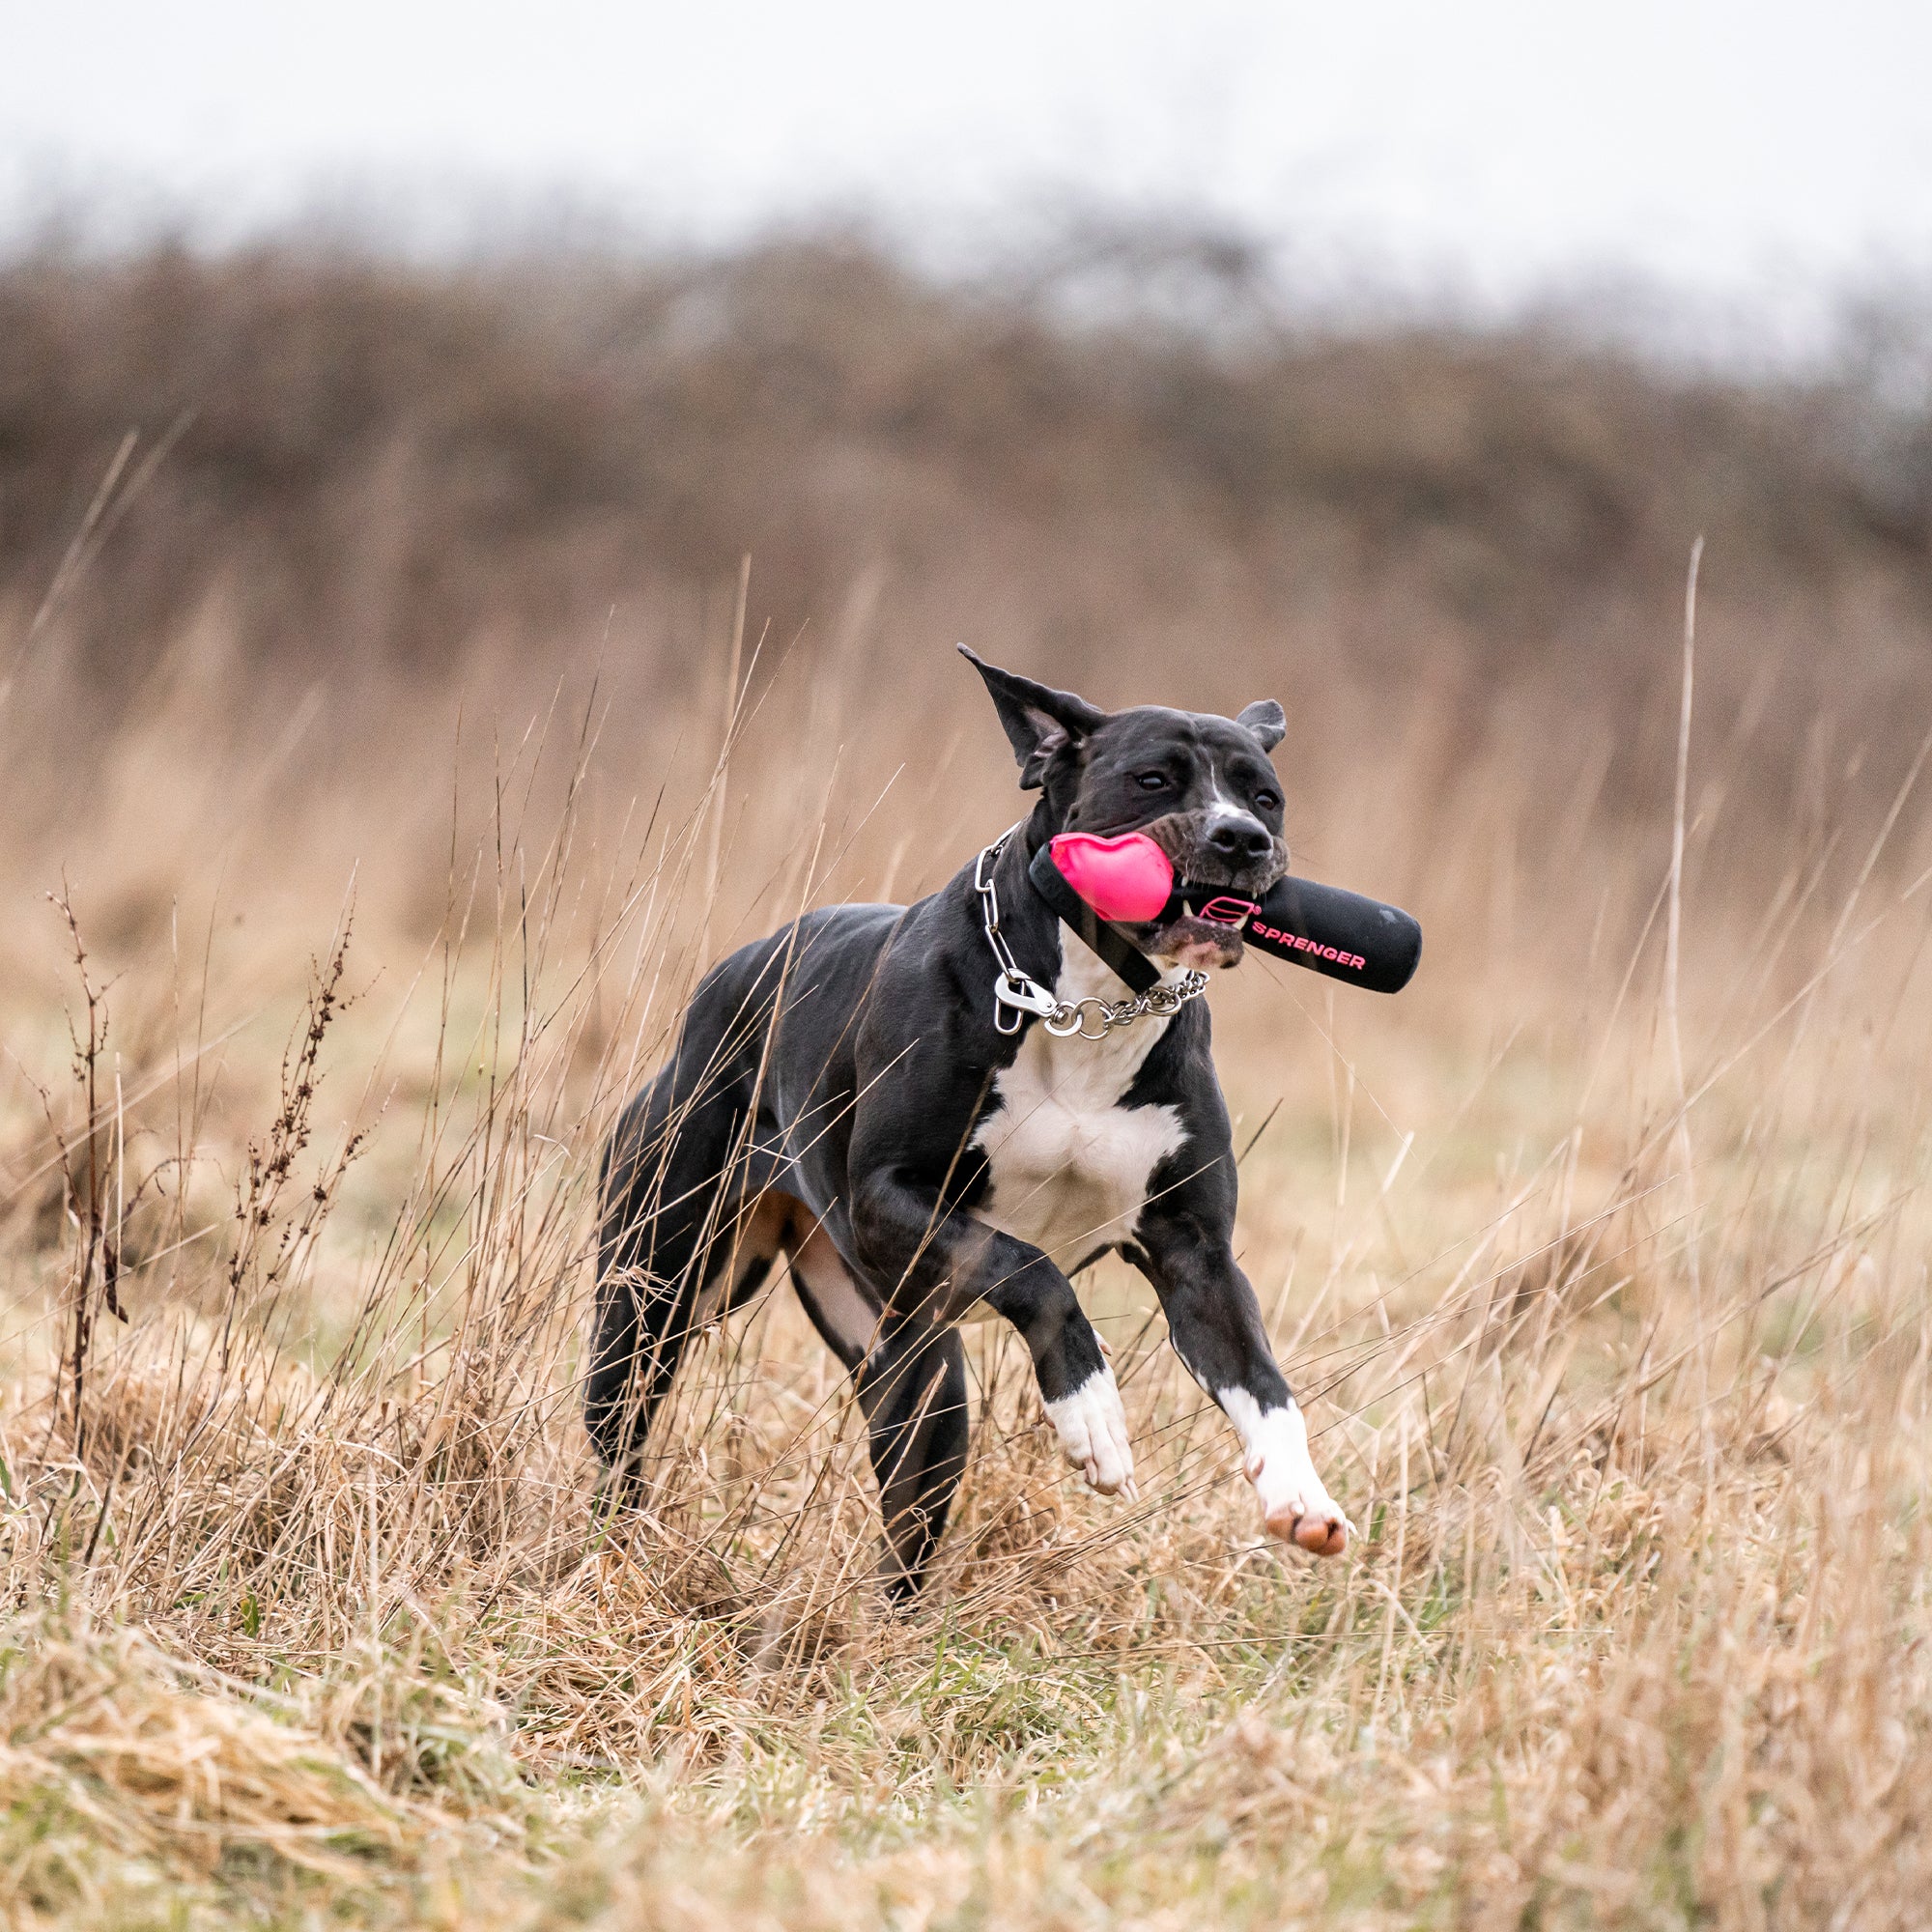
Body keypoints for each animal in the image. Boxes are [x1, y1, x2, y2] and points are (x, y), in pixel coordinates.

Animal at [587, 657, 1345, 1592]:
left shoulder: (1195, 1252)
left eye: (1264, 796)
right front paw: (1092, 1415)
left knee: (909, 1497)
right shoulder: (890, 1197)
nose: (1240, 837)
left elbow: (1262, 1380)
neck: (1090, 1003)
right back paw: (616, 1553)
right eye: (1153, 780)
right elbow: (1032, 1270)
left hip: (913, 1374)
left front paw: (1300, 1494)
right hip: (654, 1286)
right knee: (621, 1428)